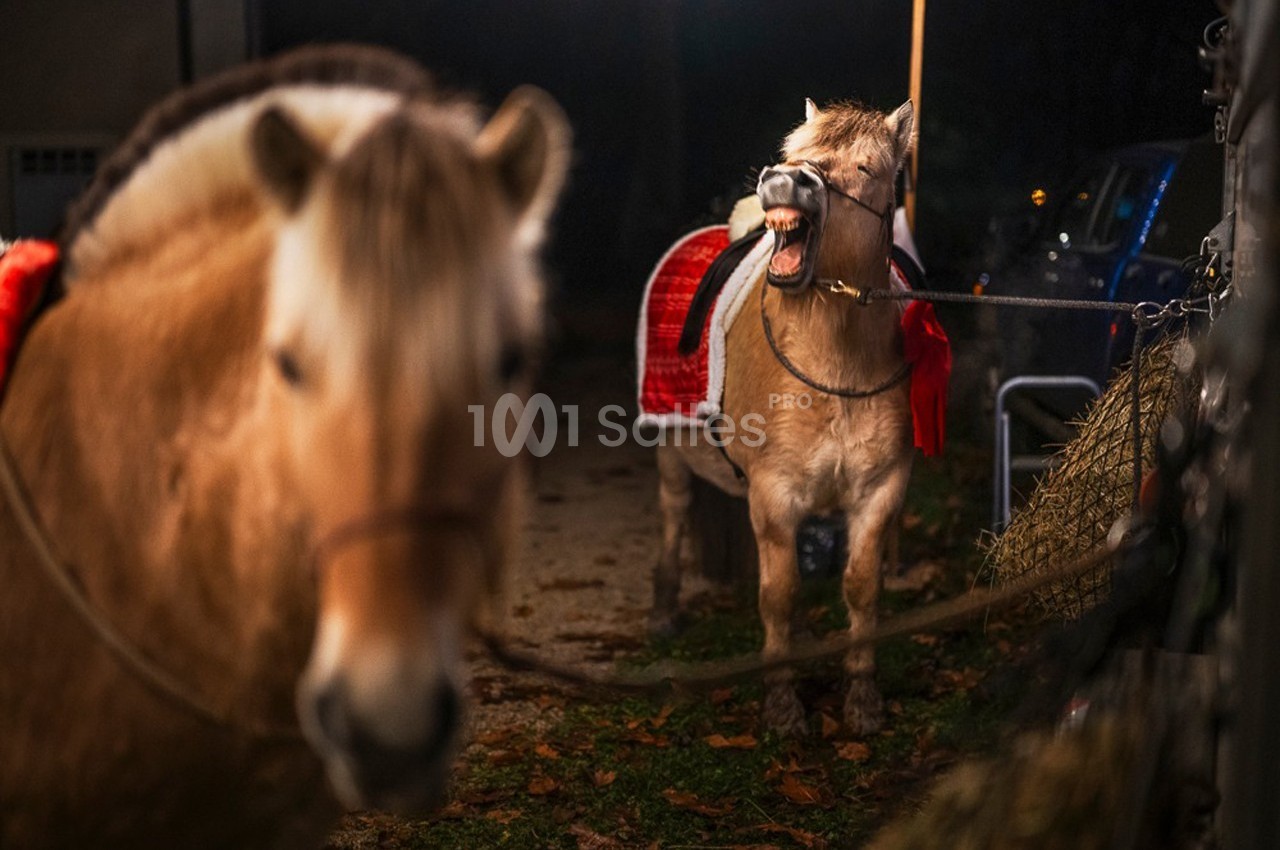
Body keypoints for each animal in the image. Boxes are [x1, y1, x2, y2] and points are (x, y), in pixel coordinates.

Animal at [646, 99, 919, 737]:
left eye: (867, 167)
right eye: (795, 153)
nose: (784, 179)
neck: (838, 365)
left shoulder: (879, 492)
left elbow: (861, 591)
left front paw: (862, 700)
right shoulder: (772, 494)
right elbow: (779, 594)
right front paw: (782, 705)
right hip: (670, 454)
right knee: (674, 518)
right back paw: (666, 610)